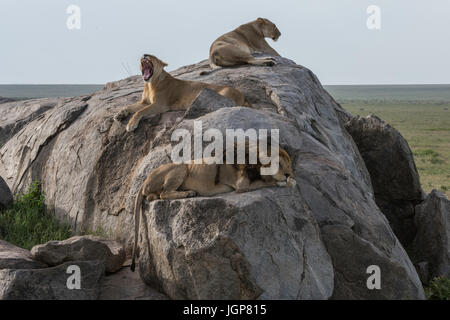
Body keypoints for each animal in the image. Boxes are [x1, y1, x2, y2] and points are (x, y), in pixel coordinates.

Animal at [115, 54, 250, 132]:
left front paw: (131, 125)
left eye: (151, 56)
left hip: (224, 93)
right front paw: (119, 114)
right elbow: (130, 106)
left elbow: (140, 111)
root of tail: (243, 96)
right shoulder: (145, 102)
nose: (144, 55)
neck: (150, 83)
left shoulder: (161, 105)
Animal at [130, 147, 296, 270]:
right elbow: (269, 182)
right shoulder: (242, 185)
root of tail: (145, 180)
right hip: (180, 167)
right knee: (164, 193)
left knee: (153, 196)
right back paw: (189, 193)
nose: (288, 174)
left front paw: (290, 180)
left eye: (289, 165)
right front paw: (288, 182)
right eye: (278, 164)